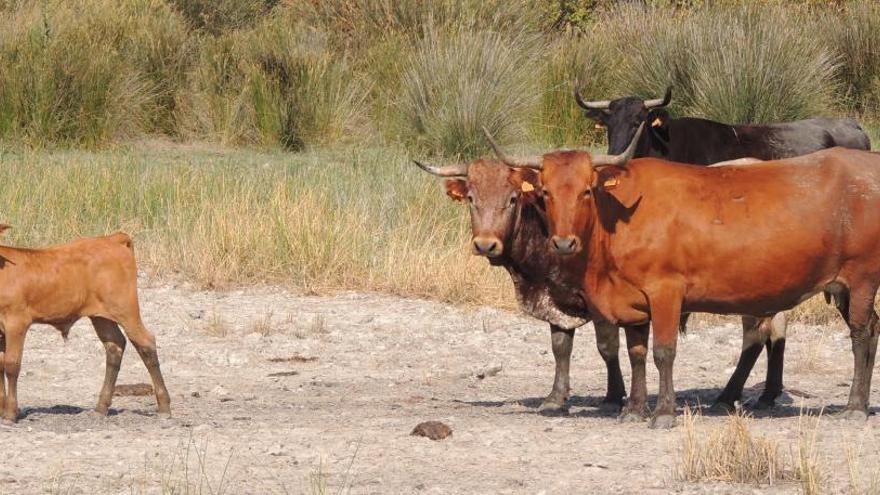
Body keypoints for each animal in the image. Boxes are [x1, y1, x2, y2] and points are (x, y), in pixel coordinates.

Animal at [0, 231, 170, 424]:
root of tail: (113, 238)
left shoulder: (17, 322)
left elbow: (11, 365)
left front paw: (10, 413)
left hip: (126, 310)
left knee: (145, 343)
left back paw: (164, 407)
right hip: (101, 317)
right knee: (115, 346)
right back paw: (101, 407)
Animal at [492, 126, 880, 428]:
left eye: (587, 190)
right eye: (545, 192)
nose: (563, 242)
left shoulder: (666, 291)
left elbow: (663, 352)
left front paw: (663, 411)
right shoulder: (633, 301)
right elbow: (636, 353)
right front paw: (633, 408)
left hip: (861, 278)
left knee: (861, 334)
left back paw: (855, 406)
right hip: (843, 287)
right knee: (871, 328)